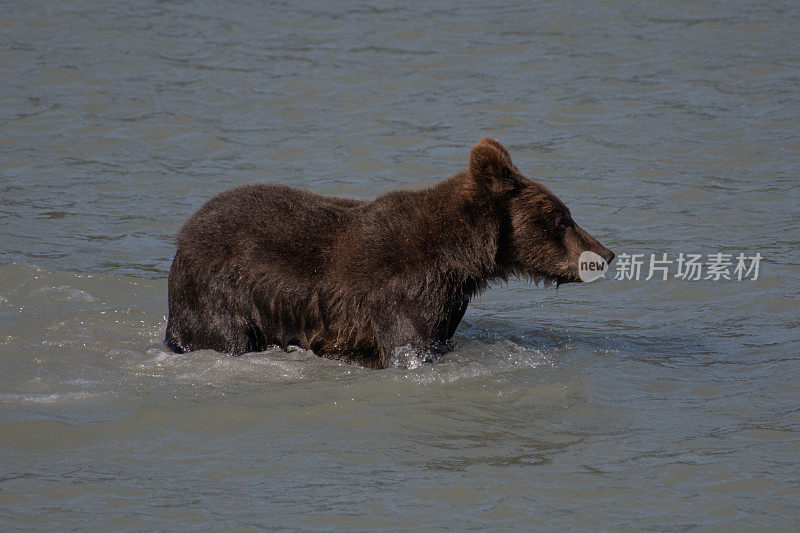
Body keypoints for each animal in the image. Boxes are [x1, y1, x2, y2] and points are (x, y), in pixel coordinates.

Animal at [162, 138, 612, 366]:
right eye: (562, 218)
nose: (605, 254)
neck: (461, 259)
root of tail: (182, 236)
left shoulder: (447, 301)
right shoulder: (401, 294)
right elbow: (407, 347)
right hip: (219, 293)